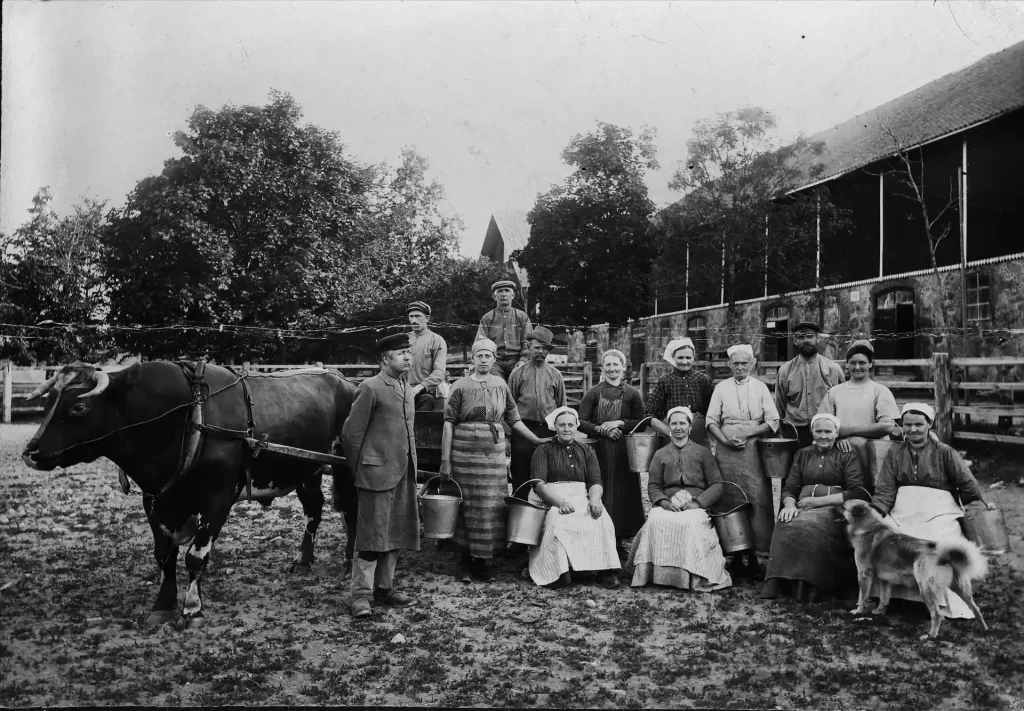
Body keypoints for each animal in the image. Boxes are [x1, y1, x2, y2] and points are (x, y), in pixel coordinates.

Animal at [839, 497, 991, 643]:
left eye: (843, 505)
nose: (835, 508)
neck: (870, 527)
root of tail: (945, 555)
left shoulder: (864, 574)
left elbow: (862, 596)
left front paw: (858, 611)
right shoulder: (885, 580)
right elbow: (884, 598)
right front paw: (879, 611)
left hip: (925, 590)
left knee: (937, 615)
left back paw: (930, 636)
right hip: (961, 589)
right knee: (976, 609)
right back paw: (984, 629)